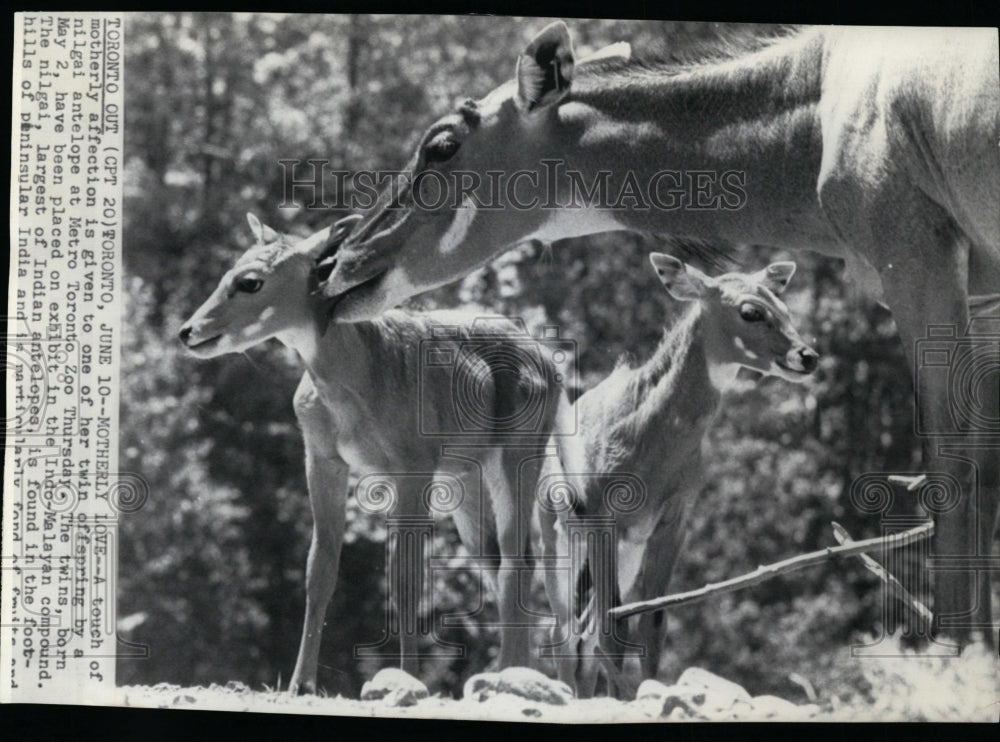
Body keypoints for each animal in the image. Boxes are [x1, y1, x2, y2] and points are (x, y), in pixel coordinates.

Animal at [179, 215, 564, 696]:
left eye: (250, 281)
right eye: (228, 271)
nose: (188, 331)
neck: (356, 376)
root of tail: (551, 362)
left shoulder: (412, 463)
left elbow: (406, 579)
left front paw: (409, 679)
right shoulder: (322, 458)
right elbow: (320, 566)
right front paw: (300, 683)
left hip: (517, 451)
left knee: (518, 559)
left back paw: (509, 673)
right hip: (464, 477)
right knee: (495, 559)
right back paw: (507, 672)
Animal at [318, 23, 1000, 644]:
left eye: (441, 145)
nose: (338, 264)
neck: (819, 113)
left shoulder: (918, 256)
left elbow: (952, 457)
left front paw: (957, 646)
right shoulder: (983, 292)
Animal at [544, 254, 816, 696]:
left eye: (785, 306)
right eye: (751, 311)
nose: (807, 356)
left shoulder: (673, 521)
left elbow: (652, 622)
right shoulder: (604, 519)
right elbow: (612, 628)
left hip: (623, 553)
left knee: (584, 632)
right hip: (557, 541)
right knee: (567, 633)